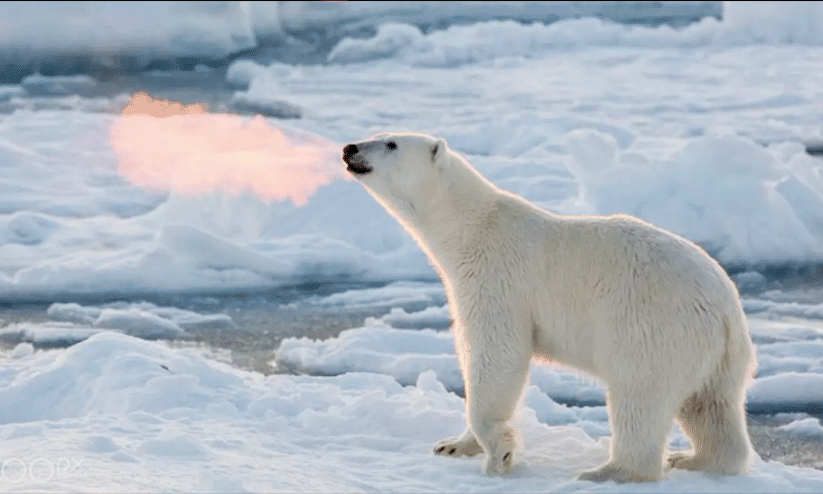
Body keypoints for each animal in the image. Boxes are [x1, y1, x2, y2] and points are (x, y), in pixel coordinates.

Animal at [342, 132, 757, 482]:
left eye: (391, 143)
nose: (349, 148)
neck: (471, 228)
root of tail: (726, 309)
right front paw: (453, 445)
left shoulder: (498, 279)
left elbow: (497, 355)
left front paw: (500, 454)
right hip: (716, 356)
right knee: (711, 407)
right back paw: (695, 459)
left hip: (652, 326)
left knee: (640, 397)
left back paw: (608, 471)